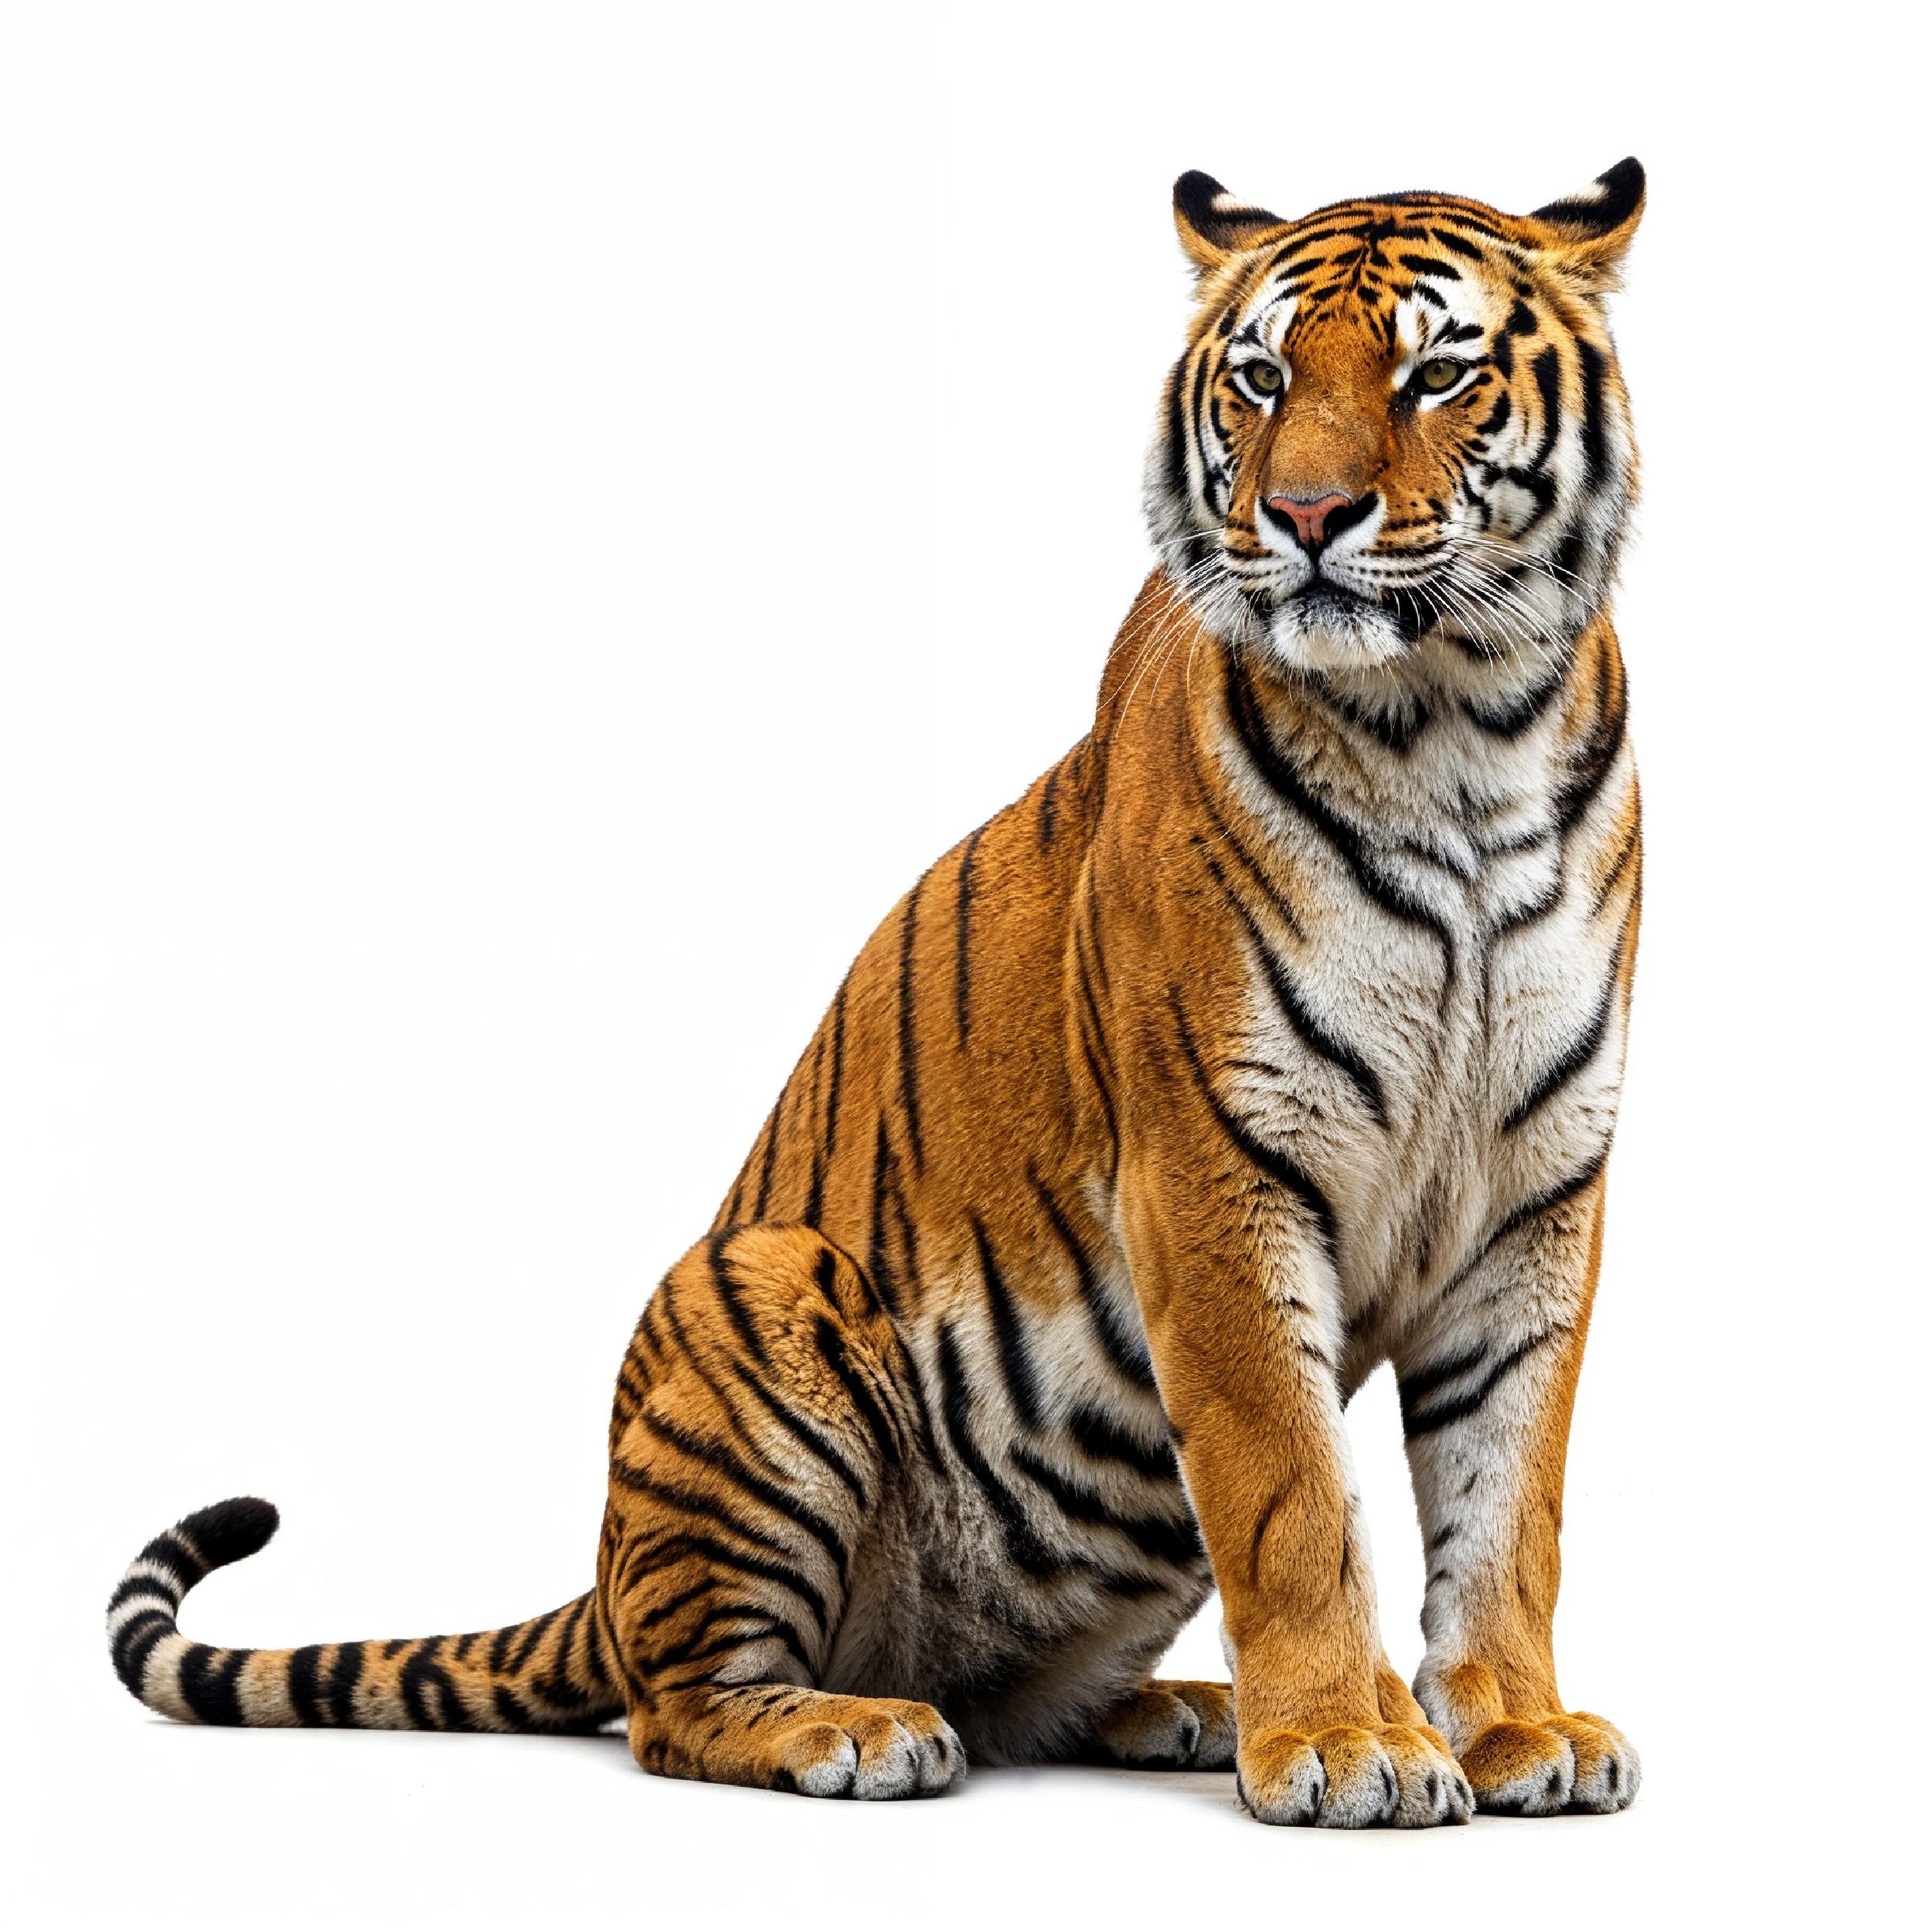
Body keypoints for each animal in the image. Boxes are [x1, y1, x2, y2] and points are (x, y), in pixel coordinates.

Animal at [109, 159, 1648, 1828]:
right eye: (1259, 381)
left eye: (1435, 374)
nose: (1302, 518)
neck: (1458, 734)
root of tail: (600, 1572)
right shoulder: (1214, 1171)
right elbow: (1290, 1490)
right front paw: (1346, 1743)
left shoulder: (1536, 1192)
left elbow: (1511, 1501)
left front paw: (1517, 1726)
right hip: (766, 1297)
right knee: (668, 1707)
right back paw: (853, 1728)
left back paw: (1169, 1708)